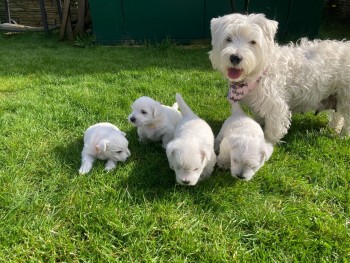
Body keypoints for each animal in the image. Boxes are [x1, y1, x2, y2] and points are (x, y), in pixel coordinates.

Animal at [209, 12, 350, 144]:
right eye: (228, 39)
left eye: (253, 42)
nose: (235, 58)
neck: (260, 72)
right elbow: (259, 118)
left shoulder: (275, 106)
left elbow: (272, 130)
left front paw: (267, 144)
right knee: (338, 116)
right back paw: (333, 129)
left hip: (346, 98)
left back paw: (343, 136)